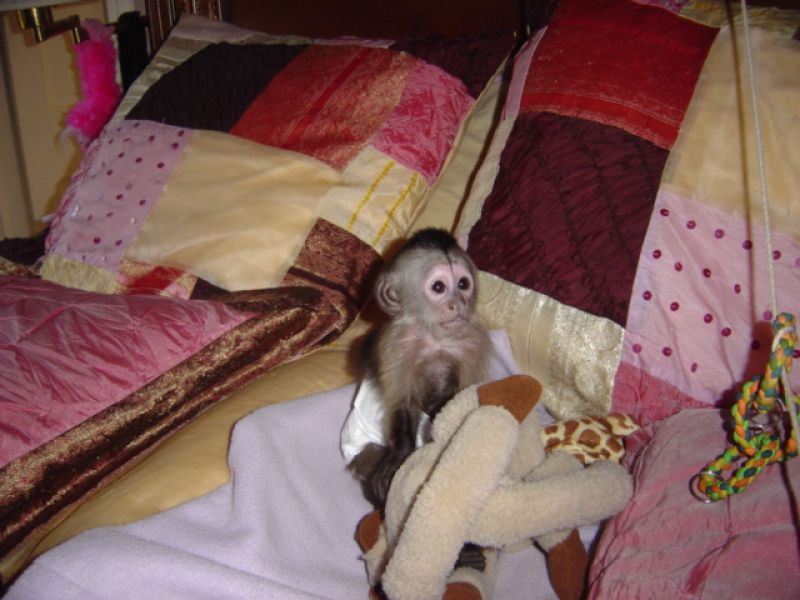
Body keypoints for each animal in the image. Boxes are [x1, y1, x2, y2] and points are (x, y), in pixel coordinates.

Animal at [344, 228, 491, 574]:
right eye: (438, 287)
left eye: (463, 284)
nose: (457, 304)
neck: (436, 338)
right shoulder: (397, 343)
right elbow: (403, 406)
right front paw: (398, 455)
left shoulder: (473, 342)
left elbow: (461, 403)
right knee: (374, 468)